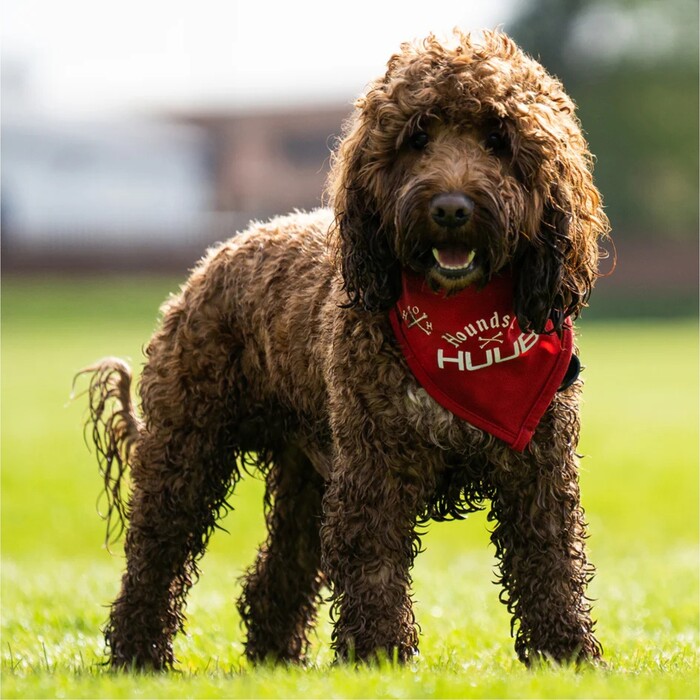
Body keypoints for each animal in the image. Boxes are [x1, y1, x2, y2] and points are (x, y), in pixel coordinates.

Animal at [80, 30, 608, 668]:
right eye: (417, 136)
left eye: (498, 138)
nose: (451, 209)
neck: (465, 338)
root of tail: (214, 258)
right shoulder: (373, 468)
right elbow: (374, 564)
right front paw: (380, 657)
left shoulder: (537, 470)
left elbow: (550, 563)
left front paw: (568, 656)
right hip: (189, 446)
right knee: (156, 555)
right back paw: (137, 657)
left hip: (308, 471)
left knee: (278, 571)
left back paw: (275, 659)